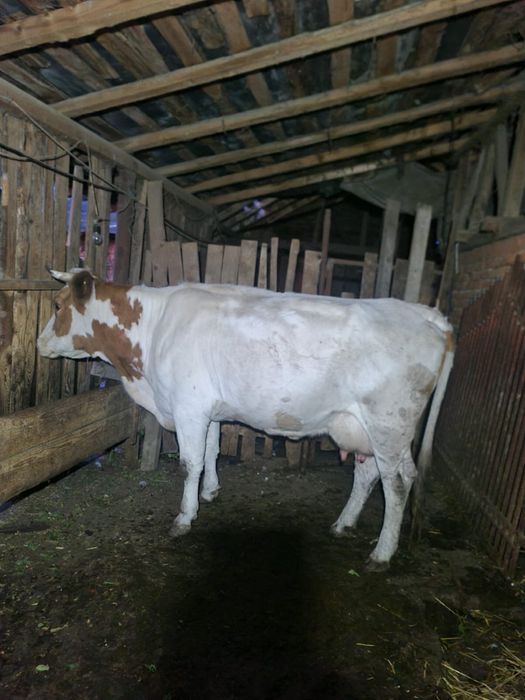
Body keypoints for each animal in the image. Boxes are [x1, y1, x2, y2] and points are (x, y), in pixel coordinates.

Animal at [38, 268, 454, 570]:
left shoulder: (188, 406)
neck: (153, 331)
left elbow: (189, 463)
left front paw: (185, 517)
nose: (38, 343)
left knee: (396, 484)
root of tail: (426, 314)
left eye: (57, 305)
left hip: (388, 422)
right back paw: (343, 524)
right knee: (371, 473)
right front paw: (210, 492)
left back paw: (382, 553)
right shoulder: (207, 408)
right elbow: (211, 451)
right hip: (367, 428)